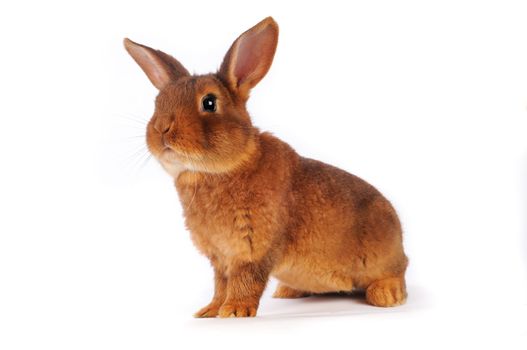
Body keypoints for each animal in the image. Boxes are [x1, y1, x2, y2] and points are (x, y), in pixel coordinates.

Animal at [124, 15, 408, 318]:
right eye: (158, 103)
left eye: (209, 102)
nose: (161, 129)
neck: (219, 170)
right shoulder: (220, 258)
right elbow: (220, 284)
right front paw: (209, 311)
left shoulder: (252, 249)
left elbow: (245, 281)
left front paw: (234, 311)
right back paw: (288, 291)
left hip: (381, 255)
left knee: (397, 272)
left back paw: (386, 295)